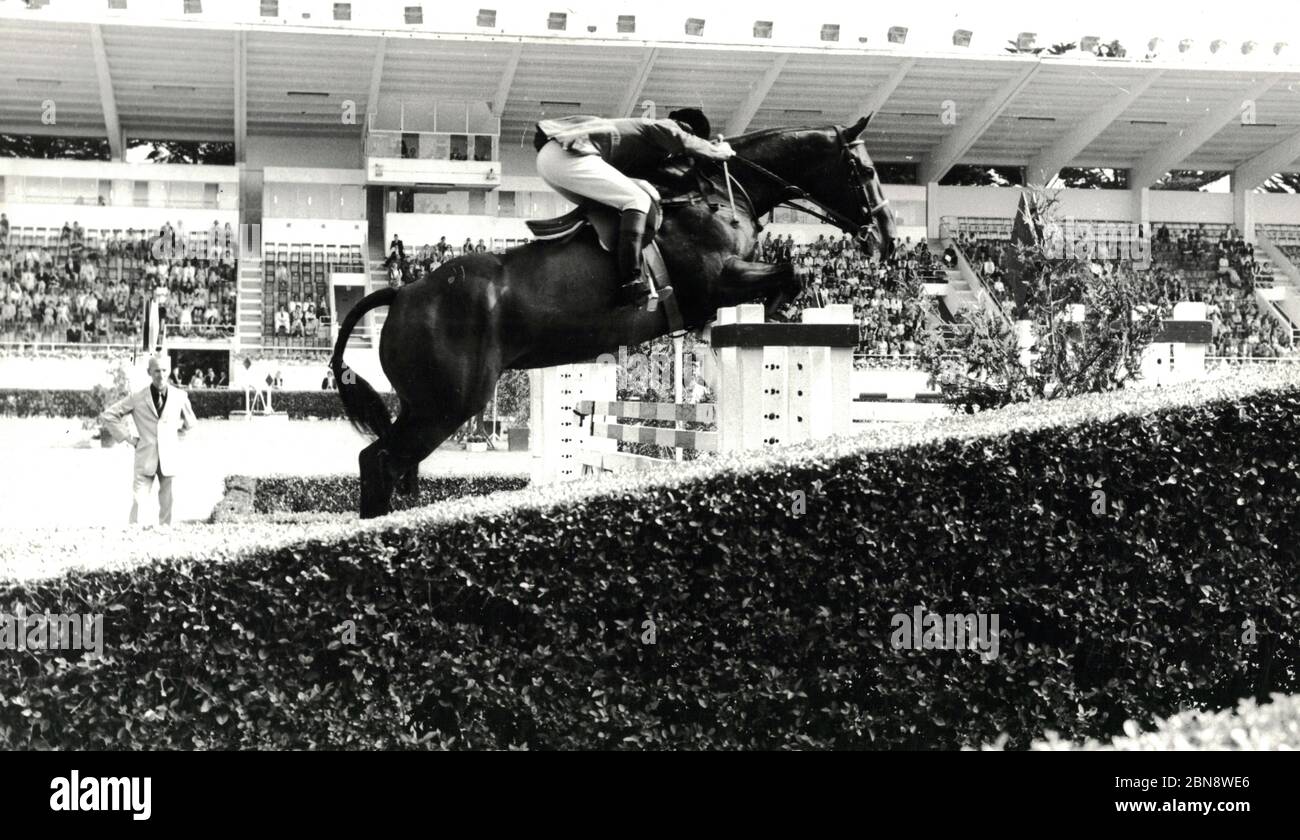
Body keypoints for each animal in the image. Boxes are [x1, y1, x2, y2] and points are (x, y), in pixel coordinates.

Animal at [327, 115, 894, 517]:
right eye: (865, 172)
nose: (886, 238)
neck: (719, 194)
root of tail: (404, 292)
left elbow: (784, 281)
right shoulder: (719, 280)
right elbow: (789, 274)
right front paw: (764, 316)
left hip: (423, 403)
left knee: (390, 465)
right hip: (447, 404)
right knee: (381, 462)